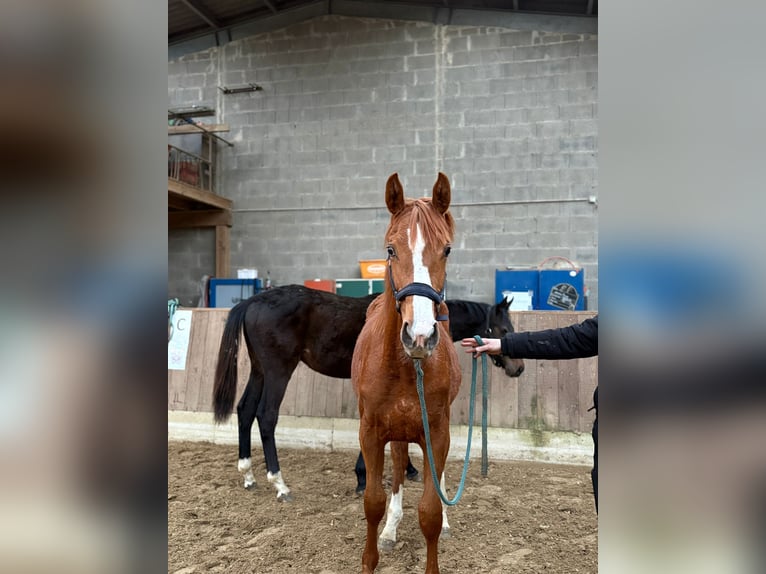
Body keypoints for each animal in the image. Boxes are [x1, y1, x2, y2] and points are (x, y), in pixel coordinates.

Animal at [212, 285, 524, 501]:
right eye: (502, 328)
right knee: (266, 416)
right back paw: (280, 484)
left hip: (259, 371)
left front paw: (405, 469)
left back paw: (248, 474)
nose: (518, 368)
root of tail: (251, 302)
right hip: (278, 371)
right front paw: (366, 477)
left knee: (244, 410)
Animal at [352, 172, 460, 574]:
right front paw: (371, 558)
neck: (403, 366)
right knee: (398, 468)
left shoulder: (437, 430)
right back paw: (390, 528)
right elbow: (373, 501)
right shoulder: (369, 431)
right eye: (390, 250)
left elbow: (430, 511)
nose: (420, 335)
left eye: (446, 250)